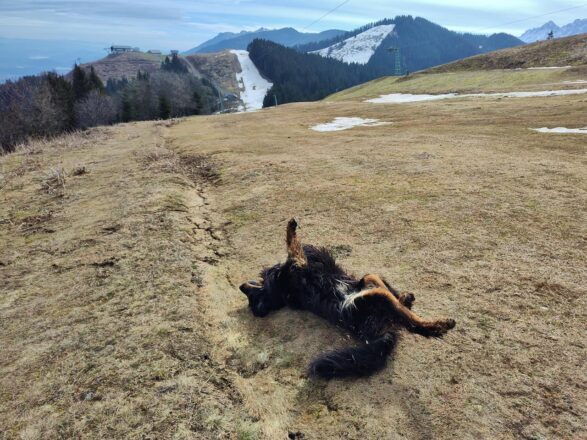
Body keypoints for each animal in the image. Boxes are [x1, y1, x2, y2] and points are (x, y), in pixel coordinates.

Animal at [241, 219, 458, 378]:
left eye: (255, 301)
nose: (242, 286)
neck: (278, 288)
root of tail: (379, 335)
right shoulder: (297, 263)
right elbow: (292, 245)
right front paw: (291, 227)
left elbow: (293, 247)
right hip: (371, 299)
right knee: (412, 323)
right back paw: (441, 324)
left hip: (367, 283)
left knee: (378, 285)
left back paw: (405, 297)